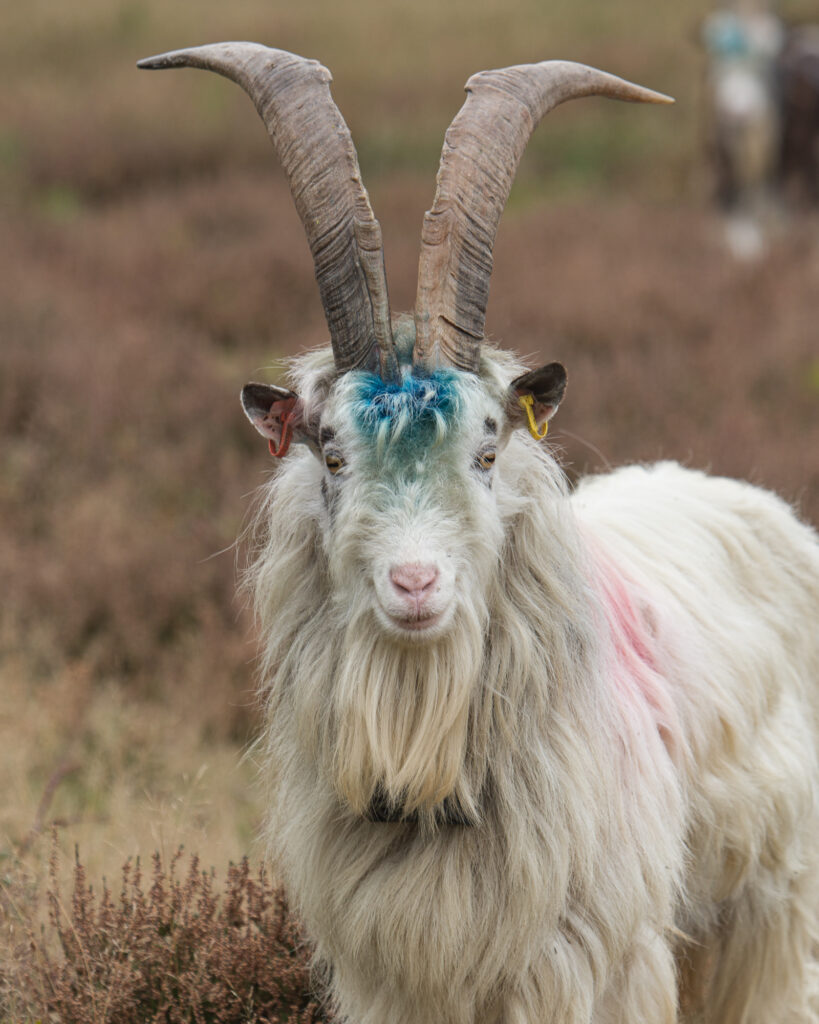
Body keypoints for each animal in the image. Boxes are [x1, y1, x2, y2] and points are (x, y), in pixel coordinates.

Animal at [137, 41, 814, 1024]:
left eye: (487, 450)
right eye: (331, 455)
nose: (415, 585)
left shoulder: (591, 966)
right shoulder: (390, 978)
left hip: (770, 921)